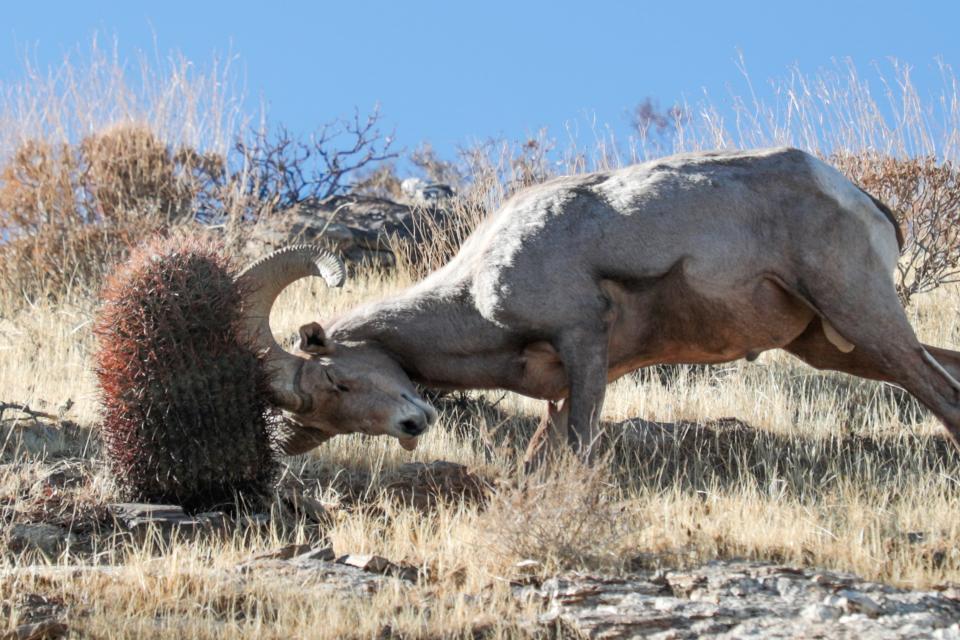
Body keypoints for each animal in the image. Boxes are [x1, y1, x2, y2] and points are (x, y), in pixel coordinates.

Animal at [240, 148, 960, 460]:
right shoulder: (564, 387)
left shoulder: (583, 342)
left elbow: (582, 447)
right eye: (326, 414)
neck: (475, 295)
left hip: (861, 317)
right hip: (834, 348)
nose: (413, 424)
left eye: (338, 378)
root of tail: (860, 199)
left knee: (943, 397)